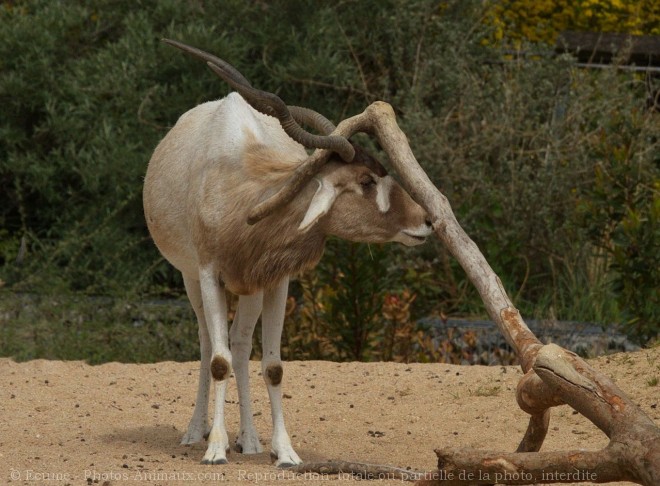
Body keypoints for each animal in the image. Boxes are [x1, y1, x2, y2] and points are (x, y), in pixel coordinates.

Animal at [144, 40, 434, 468]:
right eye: (366, 181)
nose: (427, 219)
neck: (243, 187)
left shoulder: (276, 279)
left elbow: (273, 366)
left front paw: (284, 452)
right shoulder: (210, 273)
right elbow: (217, 361)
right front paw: (215, 449)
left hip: (250, 288)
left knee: (240, 343)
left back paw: (249, 440)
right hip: (190, 277)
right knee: (208, 342)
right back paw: (198, 432)